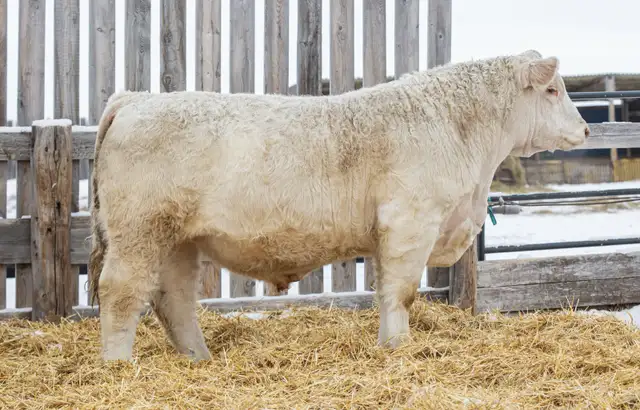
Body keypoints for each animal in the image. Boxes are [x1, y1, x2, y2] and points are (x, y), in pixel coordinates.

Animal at [88, 50, 589, 362]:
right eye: (553, 91)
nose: (586, 129)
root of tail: (135, 99)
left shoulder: (390, 233)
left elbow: (386, 291)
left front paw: (388, 346)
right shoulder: (411, 222)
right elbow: (403, 292)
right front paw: (401, 348)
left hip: (178, 240)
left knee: (174, 300)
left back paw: (199, 358)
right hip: (139, 229)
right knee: (121, 292)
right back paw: (118, 366)